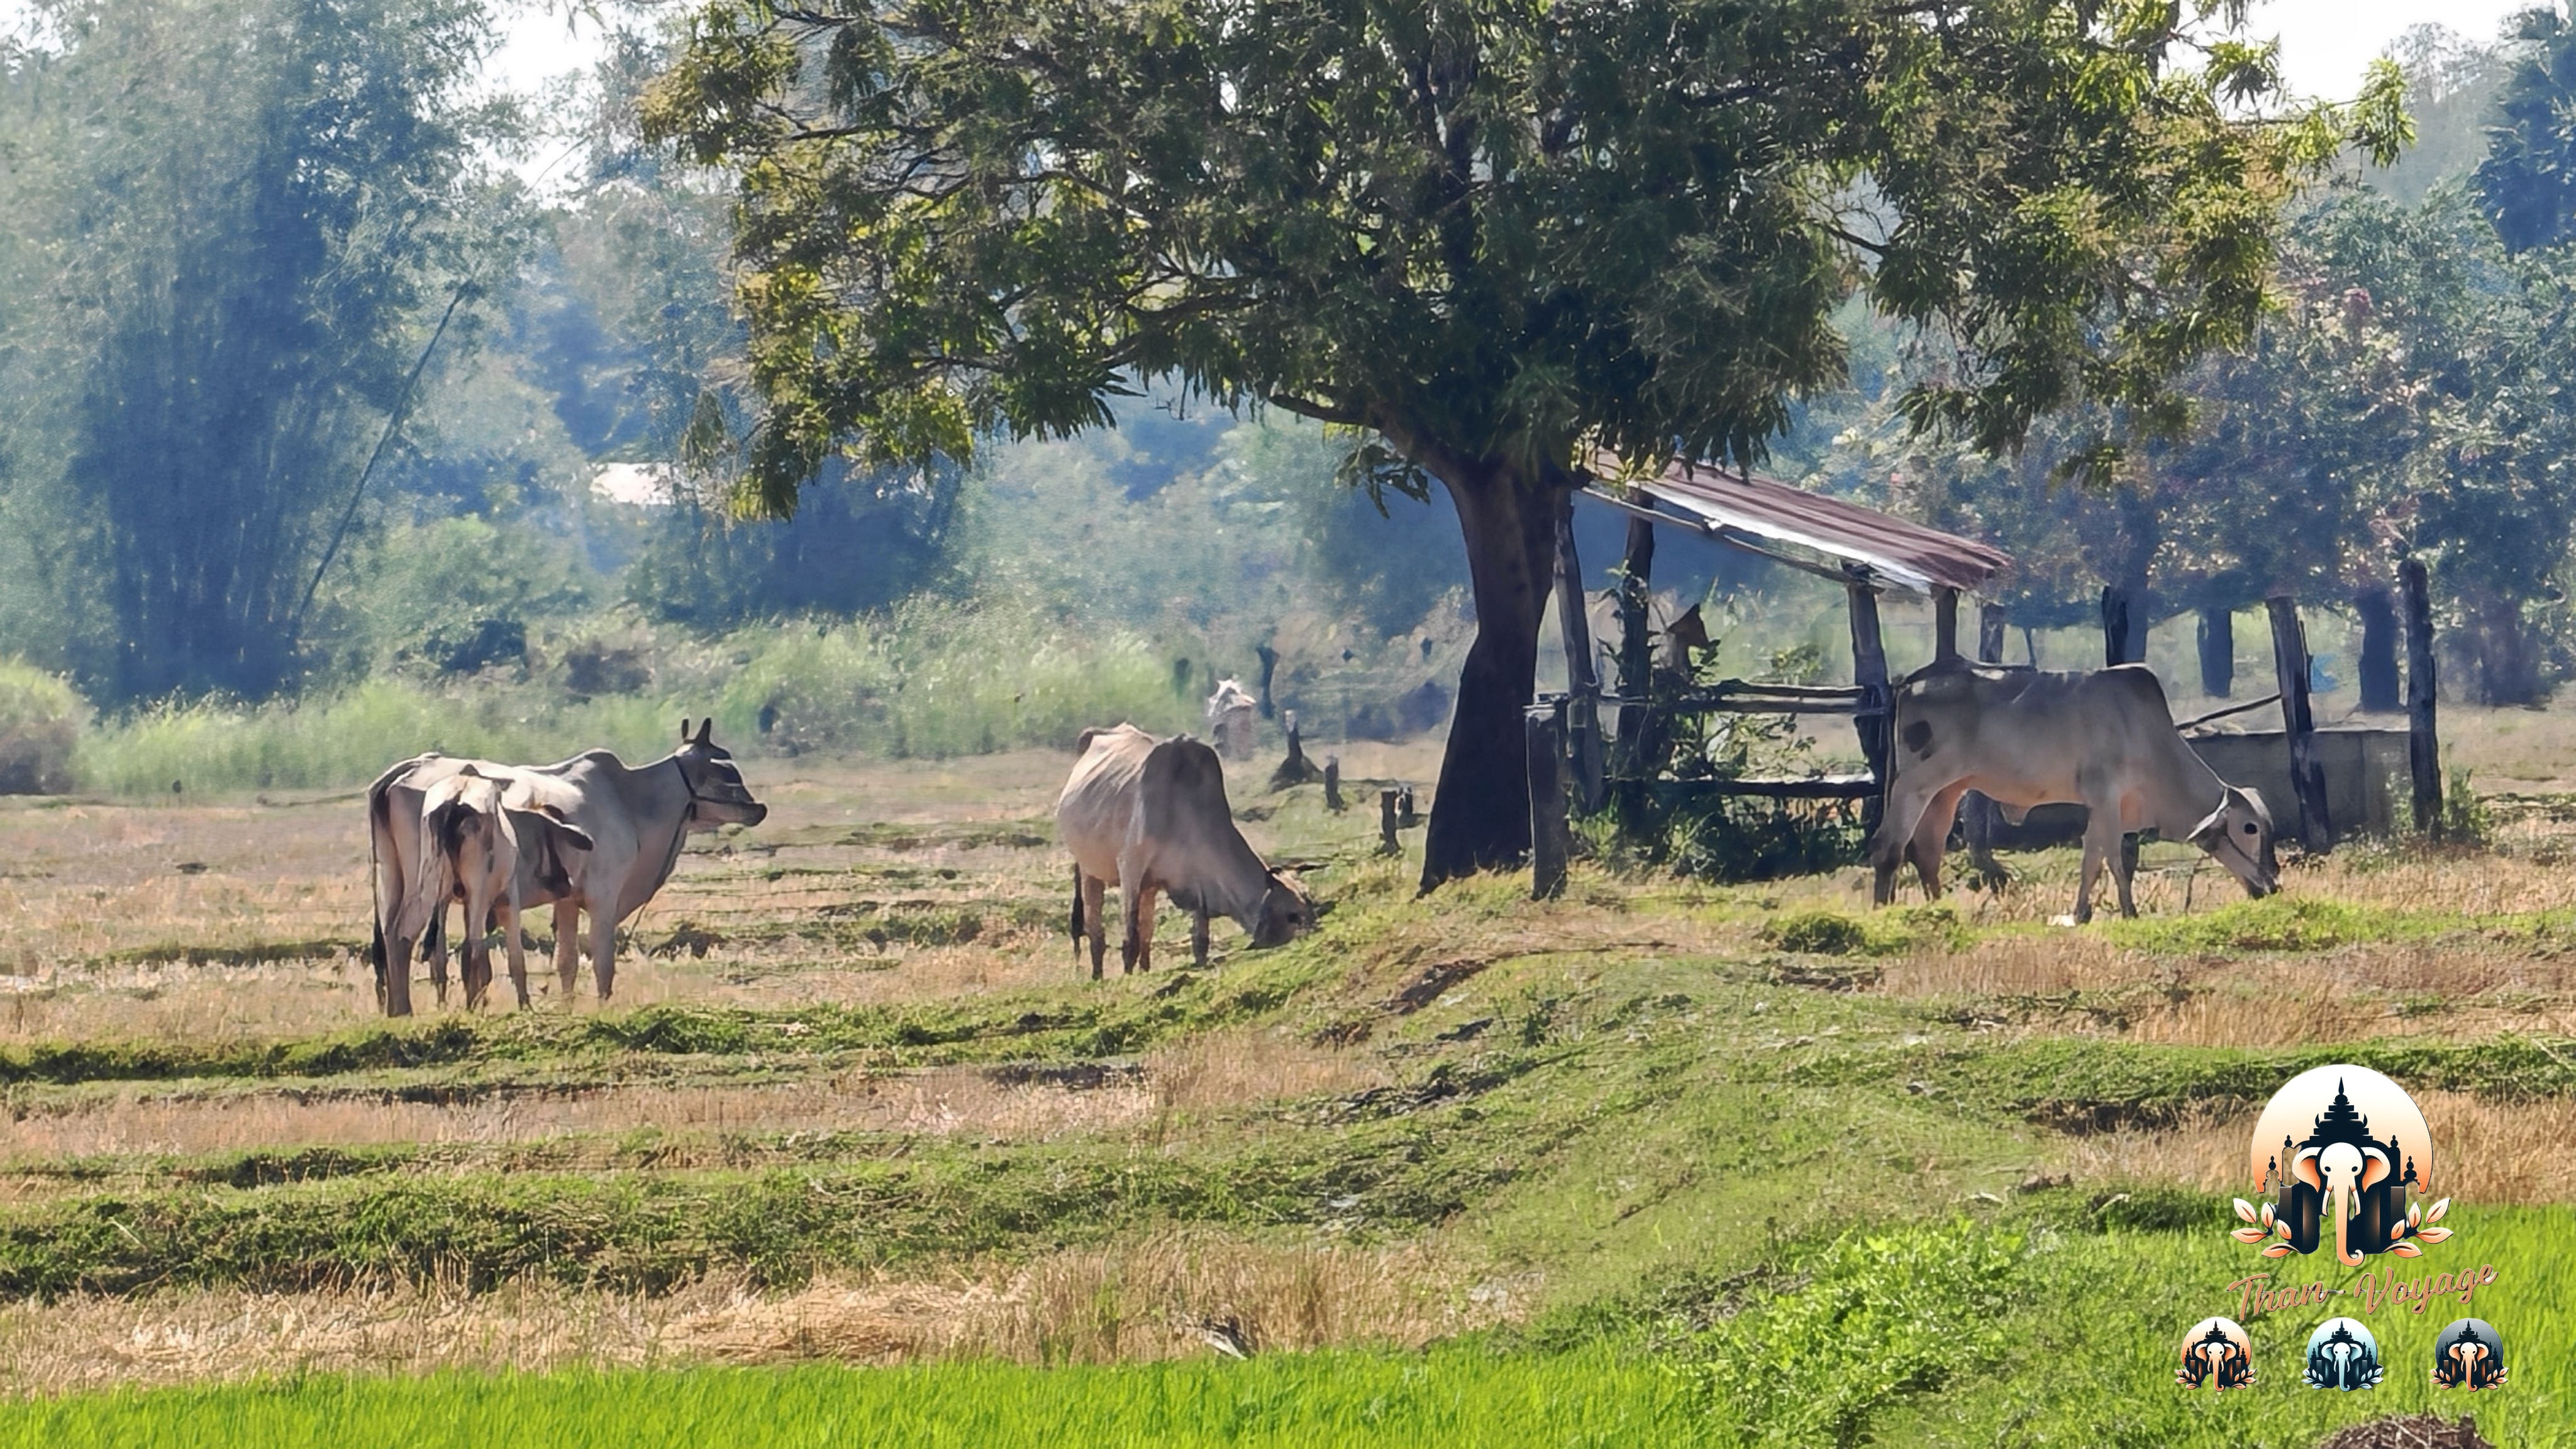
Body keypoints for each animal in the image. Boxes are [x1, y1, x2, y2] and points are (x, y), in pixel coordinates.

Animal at [391, 766, 594, 1012]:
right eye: (553, 838)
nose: (566, 885)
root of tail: (457, 798)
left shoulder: (463, 903)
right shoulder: (508, 899)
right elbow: (516, 959)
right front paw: (525, 1006)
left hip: (429, 888)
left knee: (419, 945)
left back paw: (429, 1008)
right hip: (477, 890)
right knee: (470, 948)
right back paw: (469, 1007)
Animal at [1056, 724, 1315, 978]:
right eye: (1292, 915)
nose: (1311, 931)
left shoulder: (1198, 883)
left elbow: (1199, 941)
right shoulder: (1131, 867)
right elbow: (1130, 940)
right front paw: (1128, 978)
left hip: (1149, 886)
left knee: (1146, 931)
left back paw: (1144, 970)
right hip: (1090, 869)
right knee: (1096, 929)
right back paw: (1098, 976)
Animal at [1869, 662, 2278, 923]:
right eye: (2250, 828)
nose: (2272, 885)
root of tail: (1909, 684)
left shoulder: (2103, 805)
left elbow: (2092, 859)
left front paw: (2083, 913)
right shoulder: (2106, 797)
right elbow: (2113, 856)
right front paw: (2129, 911)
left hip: (1946, 791)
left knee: (1926, 852)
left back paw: (1940, 912)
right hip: (1914, 783)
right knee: (1890, 846)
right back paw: (1882, 912)